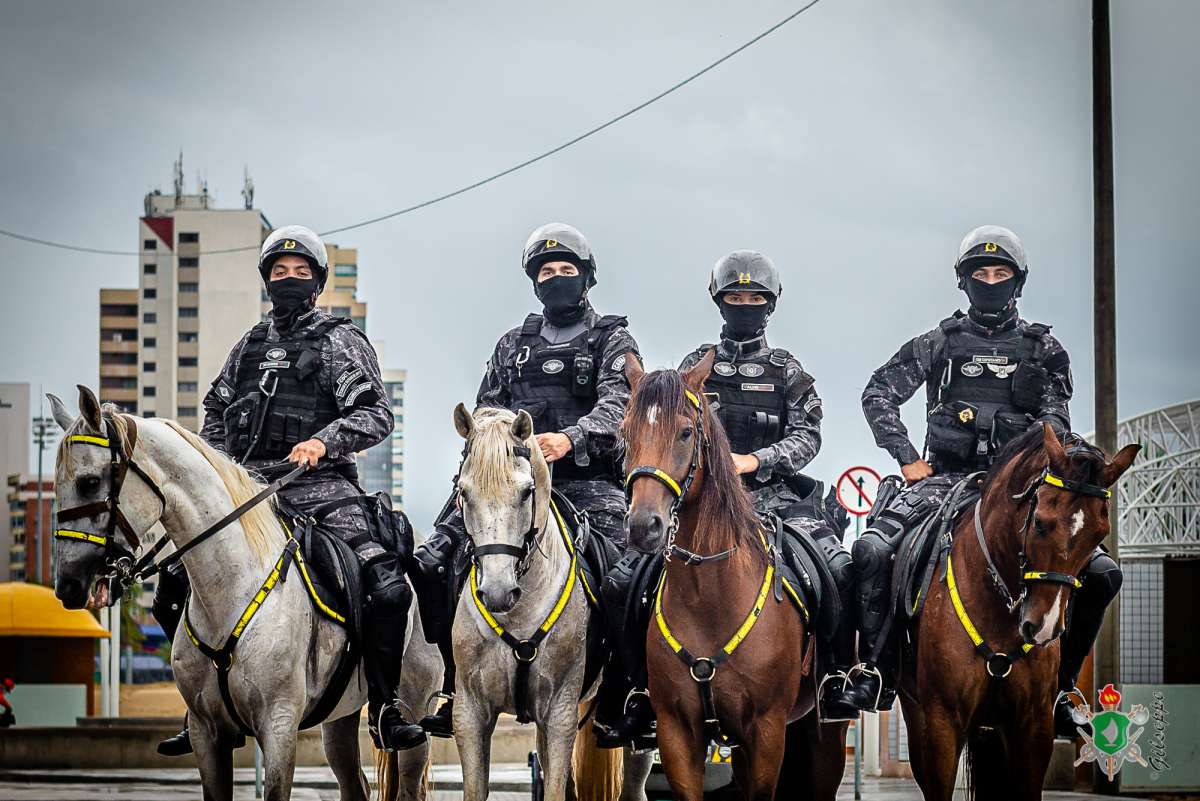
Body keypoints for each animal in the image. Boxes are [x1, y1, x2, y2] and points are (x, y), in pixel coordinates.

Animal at [49, 383, 441, 796]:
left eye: (89, 482)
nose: (69, 584)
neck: (231, 587)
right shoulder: (207, 733)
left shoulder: (279, 726)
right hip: (340, 715)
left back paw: (394, 721)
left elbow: (372, 408)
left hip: (415, 704)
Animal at [619, 352, 844, 801]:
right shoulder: (677, 732)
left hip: (823, 736)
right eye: (625, 431)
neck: (709, 595)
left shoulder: (767, 731)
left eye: (686, 432)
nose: (643, 526)